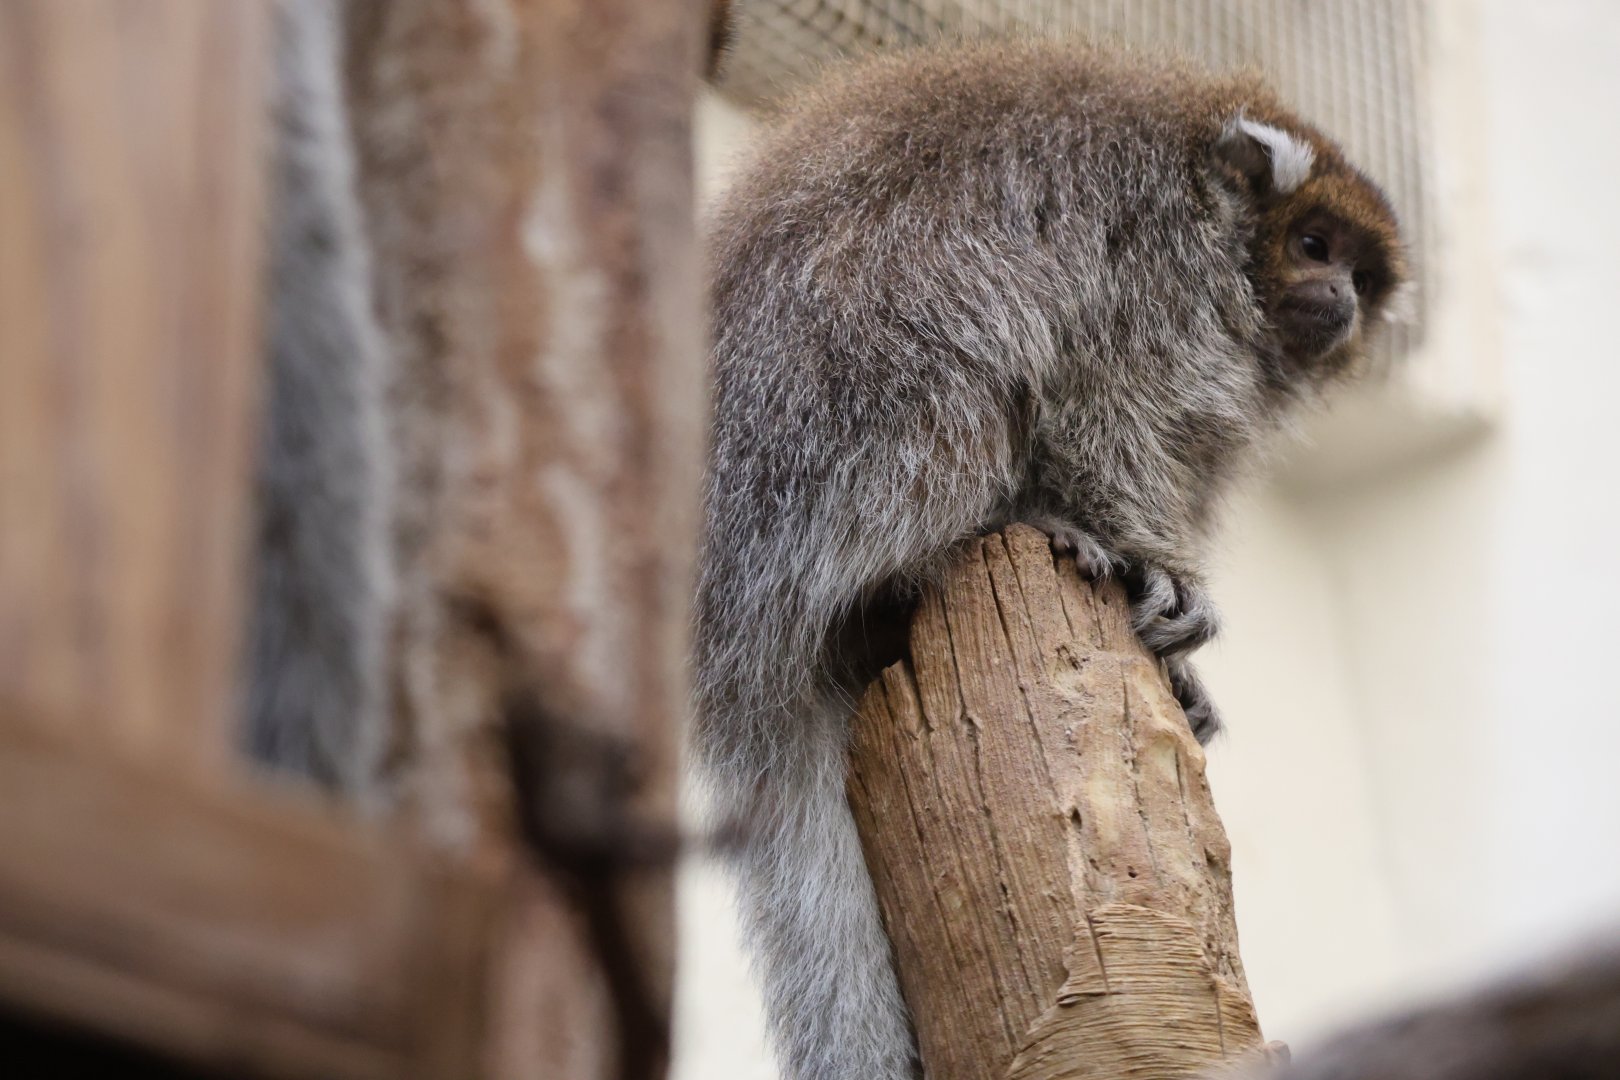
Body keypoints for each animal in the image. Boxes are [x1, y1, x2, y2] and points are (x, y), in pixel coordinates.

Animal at [693, 38, 1409, 1080]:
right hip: (812, 445)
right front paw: (1146, 558)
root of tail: (723, 627)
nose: (1343, 299)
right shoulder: (1158, 257)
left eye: (1360, 269)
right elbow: (1102, 397)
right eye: (1313, 247)